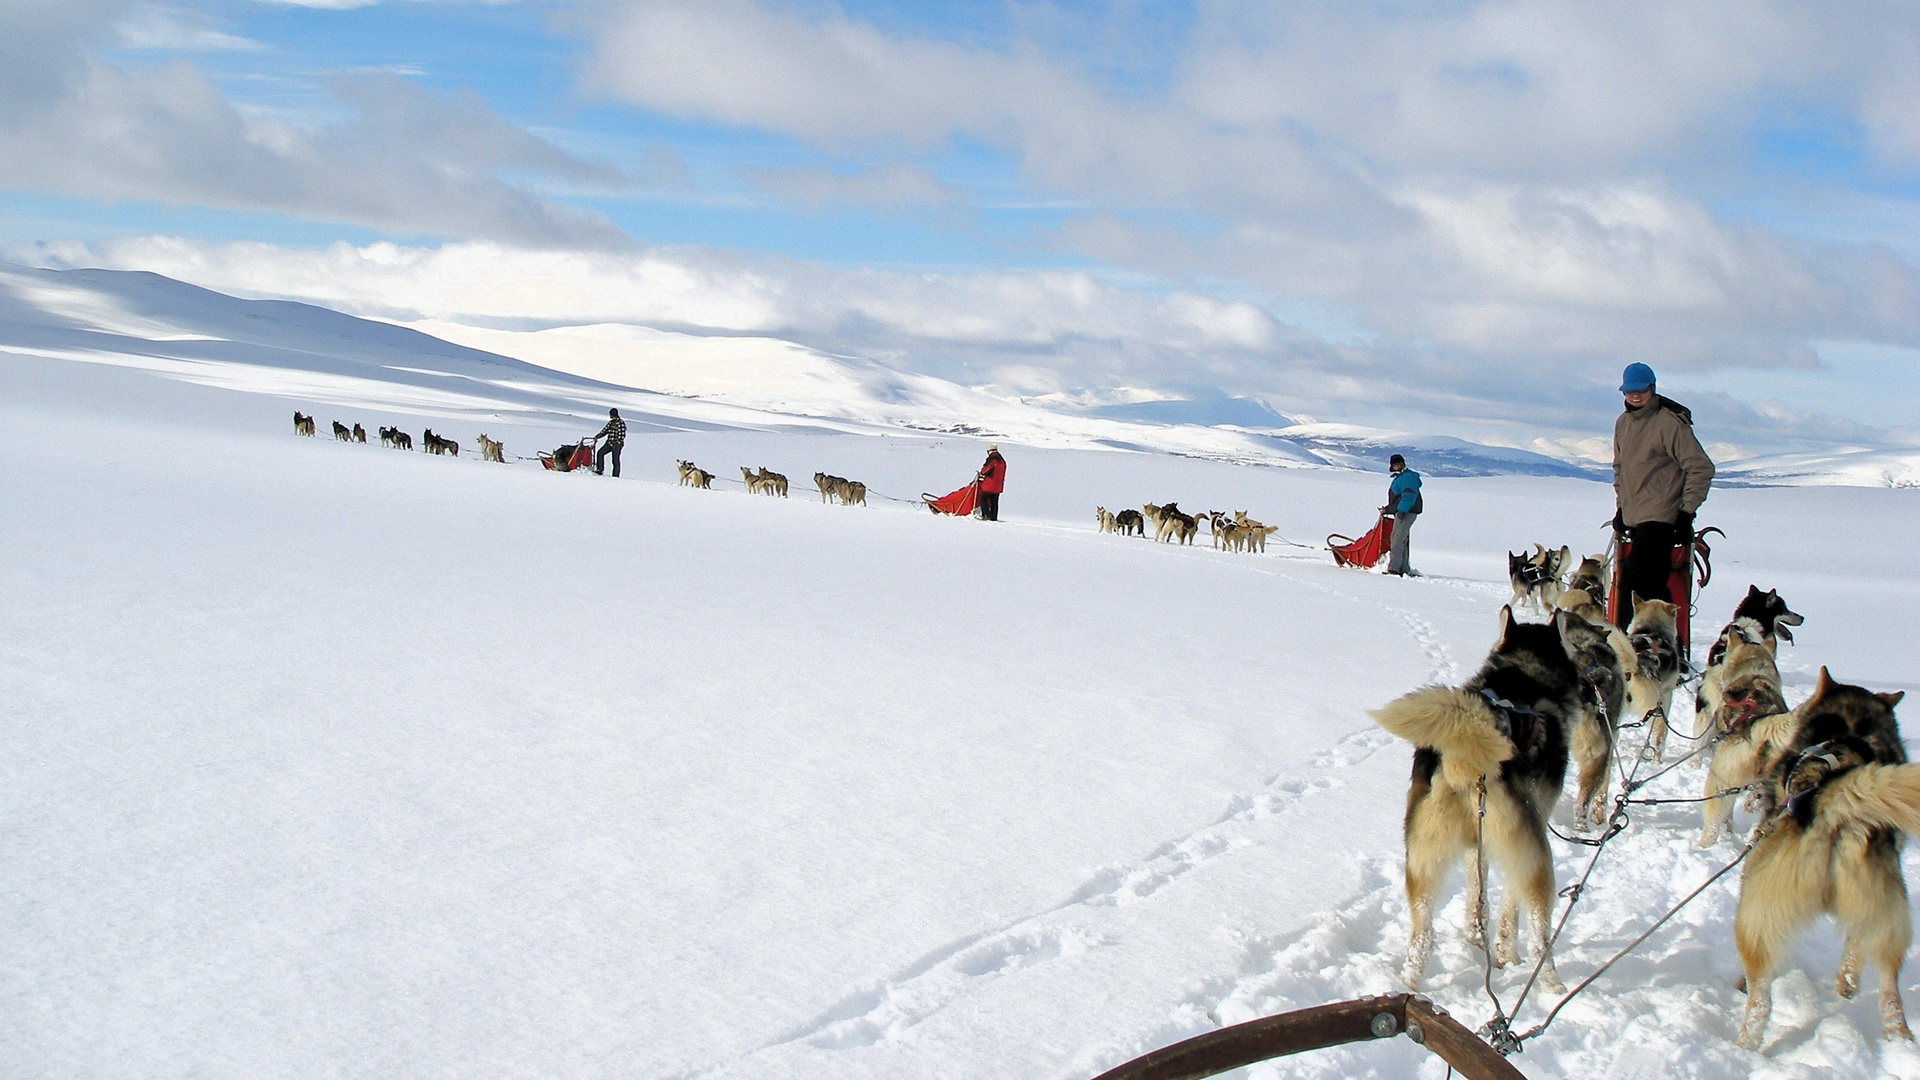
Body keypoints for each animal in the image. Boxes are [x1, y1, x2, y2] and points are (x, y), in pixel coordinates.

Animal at [1367, 607, 1605, 991]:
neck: (1526, 672)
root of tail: (1466, 758)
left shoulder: (1474, 849)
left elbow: (1478, 898)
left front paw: (1478, 938)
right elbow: (1509, 909)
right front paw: (1507, 953)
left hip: (1422, 863)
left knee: (1422, 934)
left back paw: (1411, 983)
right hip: (1535, 859)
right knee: (1539, 931)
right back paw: (1550, 983)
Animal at [1735, 668, 1912, 1045]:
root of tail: (1832, 804)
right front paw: (1847, 983)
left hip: (1754, 915)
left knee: (1761, 999)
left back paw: (1744, 1043)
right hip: (1888, 918)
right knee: (1889, 990)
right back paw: (1897, 1033)